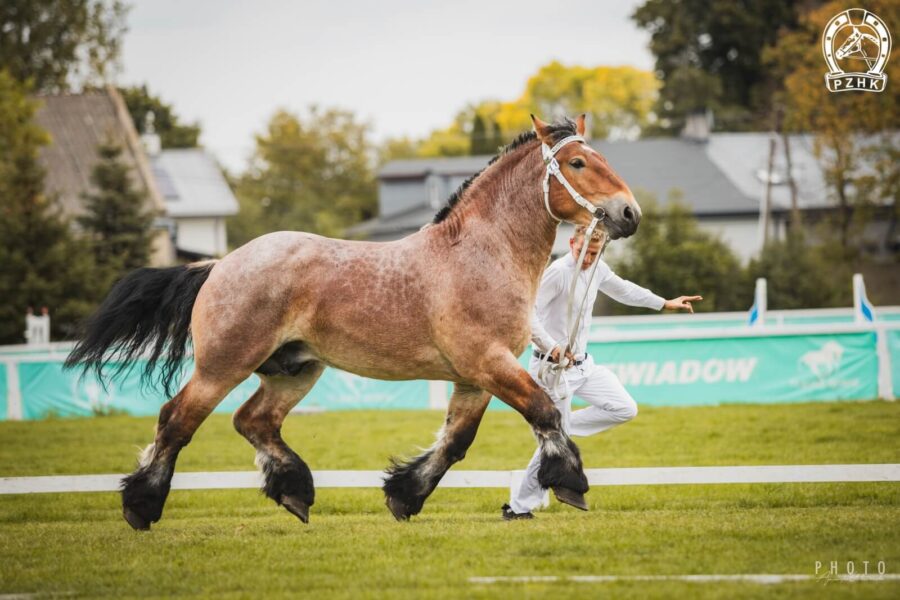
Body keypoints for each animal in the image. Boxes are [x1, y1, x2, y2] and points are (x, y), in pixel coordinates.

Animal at [65, 113, 640, 528]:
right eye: (579, 163)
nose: (629, 213)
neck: (480, 252)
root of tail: (219, 264)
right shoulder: (489, 363)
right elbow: (544, 412)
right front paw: (570, 483)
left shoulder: (474, 378)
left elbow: (455, 443)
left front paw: (404, 496)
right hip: (221, 367)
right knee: (176, 420)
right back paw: (141, 506)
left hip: (295, 370)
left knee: (253, 421)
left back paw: (294, 492)